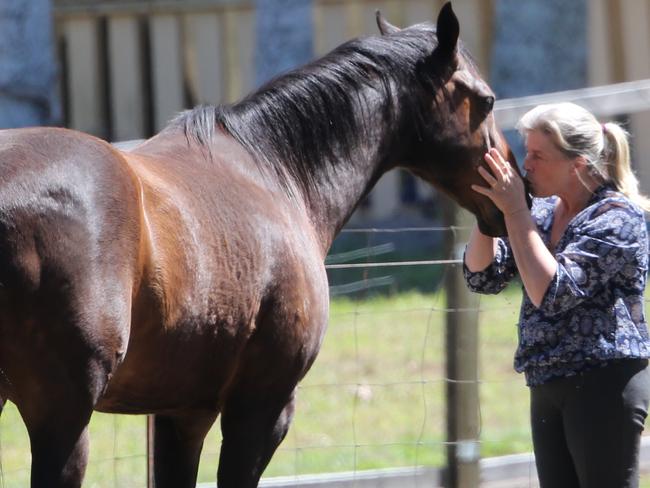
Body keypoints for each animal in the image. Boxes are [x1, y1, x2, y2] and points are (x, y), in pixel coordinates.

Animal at [0, 3, 516, 488]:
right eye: (486, 100)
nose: (517, 189)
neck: (274, 170)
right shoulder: (263, 406)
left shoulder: (181, 411)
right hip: (63, 420)